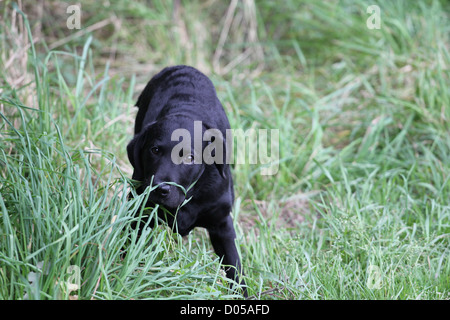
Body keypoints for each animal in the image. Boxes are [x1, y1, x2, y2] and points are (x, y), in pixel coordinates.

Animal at [126, 65, 246, 298]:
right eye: (155, 150)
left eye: (189, 158)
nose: (161, 189)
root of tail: (180, 67)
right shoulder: (140, 209)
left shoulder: (221, 224)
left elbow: (234, 268)